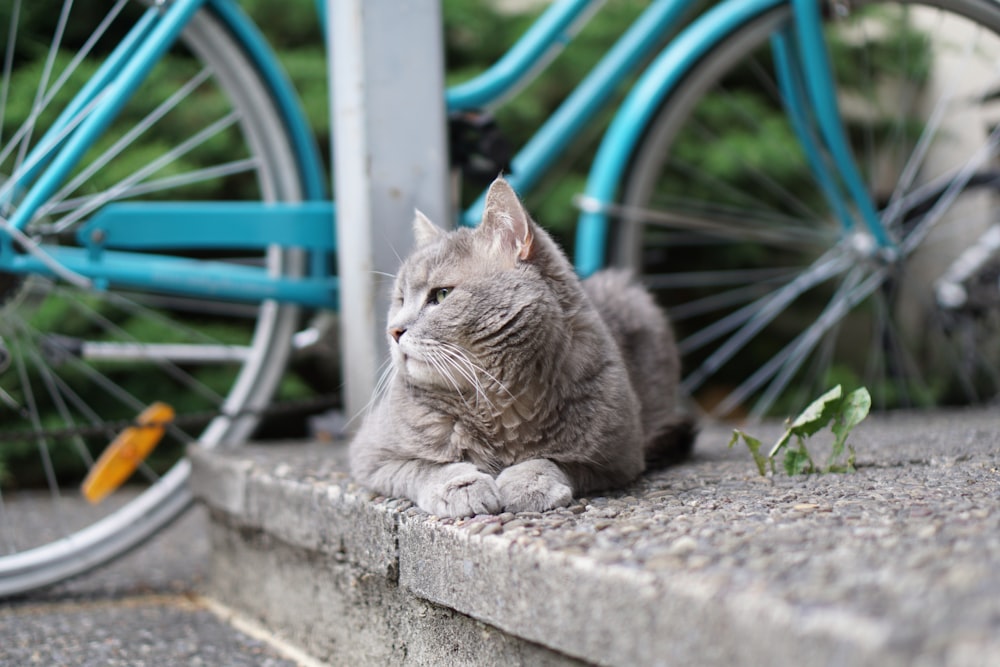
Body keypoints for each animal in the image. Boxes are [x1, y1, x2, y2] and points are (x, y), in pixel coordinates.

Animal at [352, 176, 696, 516]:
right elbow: (423, 468)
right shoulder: (370, 455)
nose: (394, 331)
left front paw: (529, 483)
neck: (496, 403)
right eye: (400, 300)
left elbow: (551, 460)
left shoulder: (618, 460)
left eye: (442, 295)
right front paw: (462, 486)